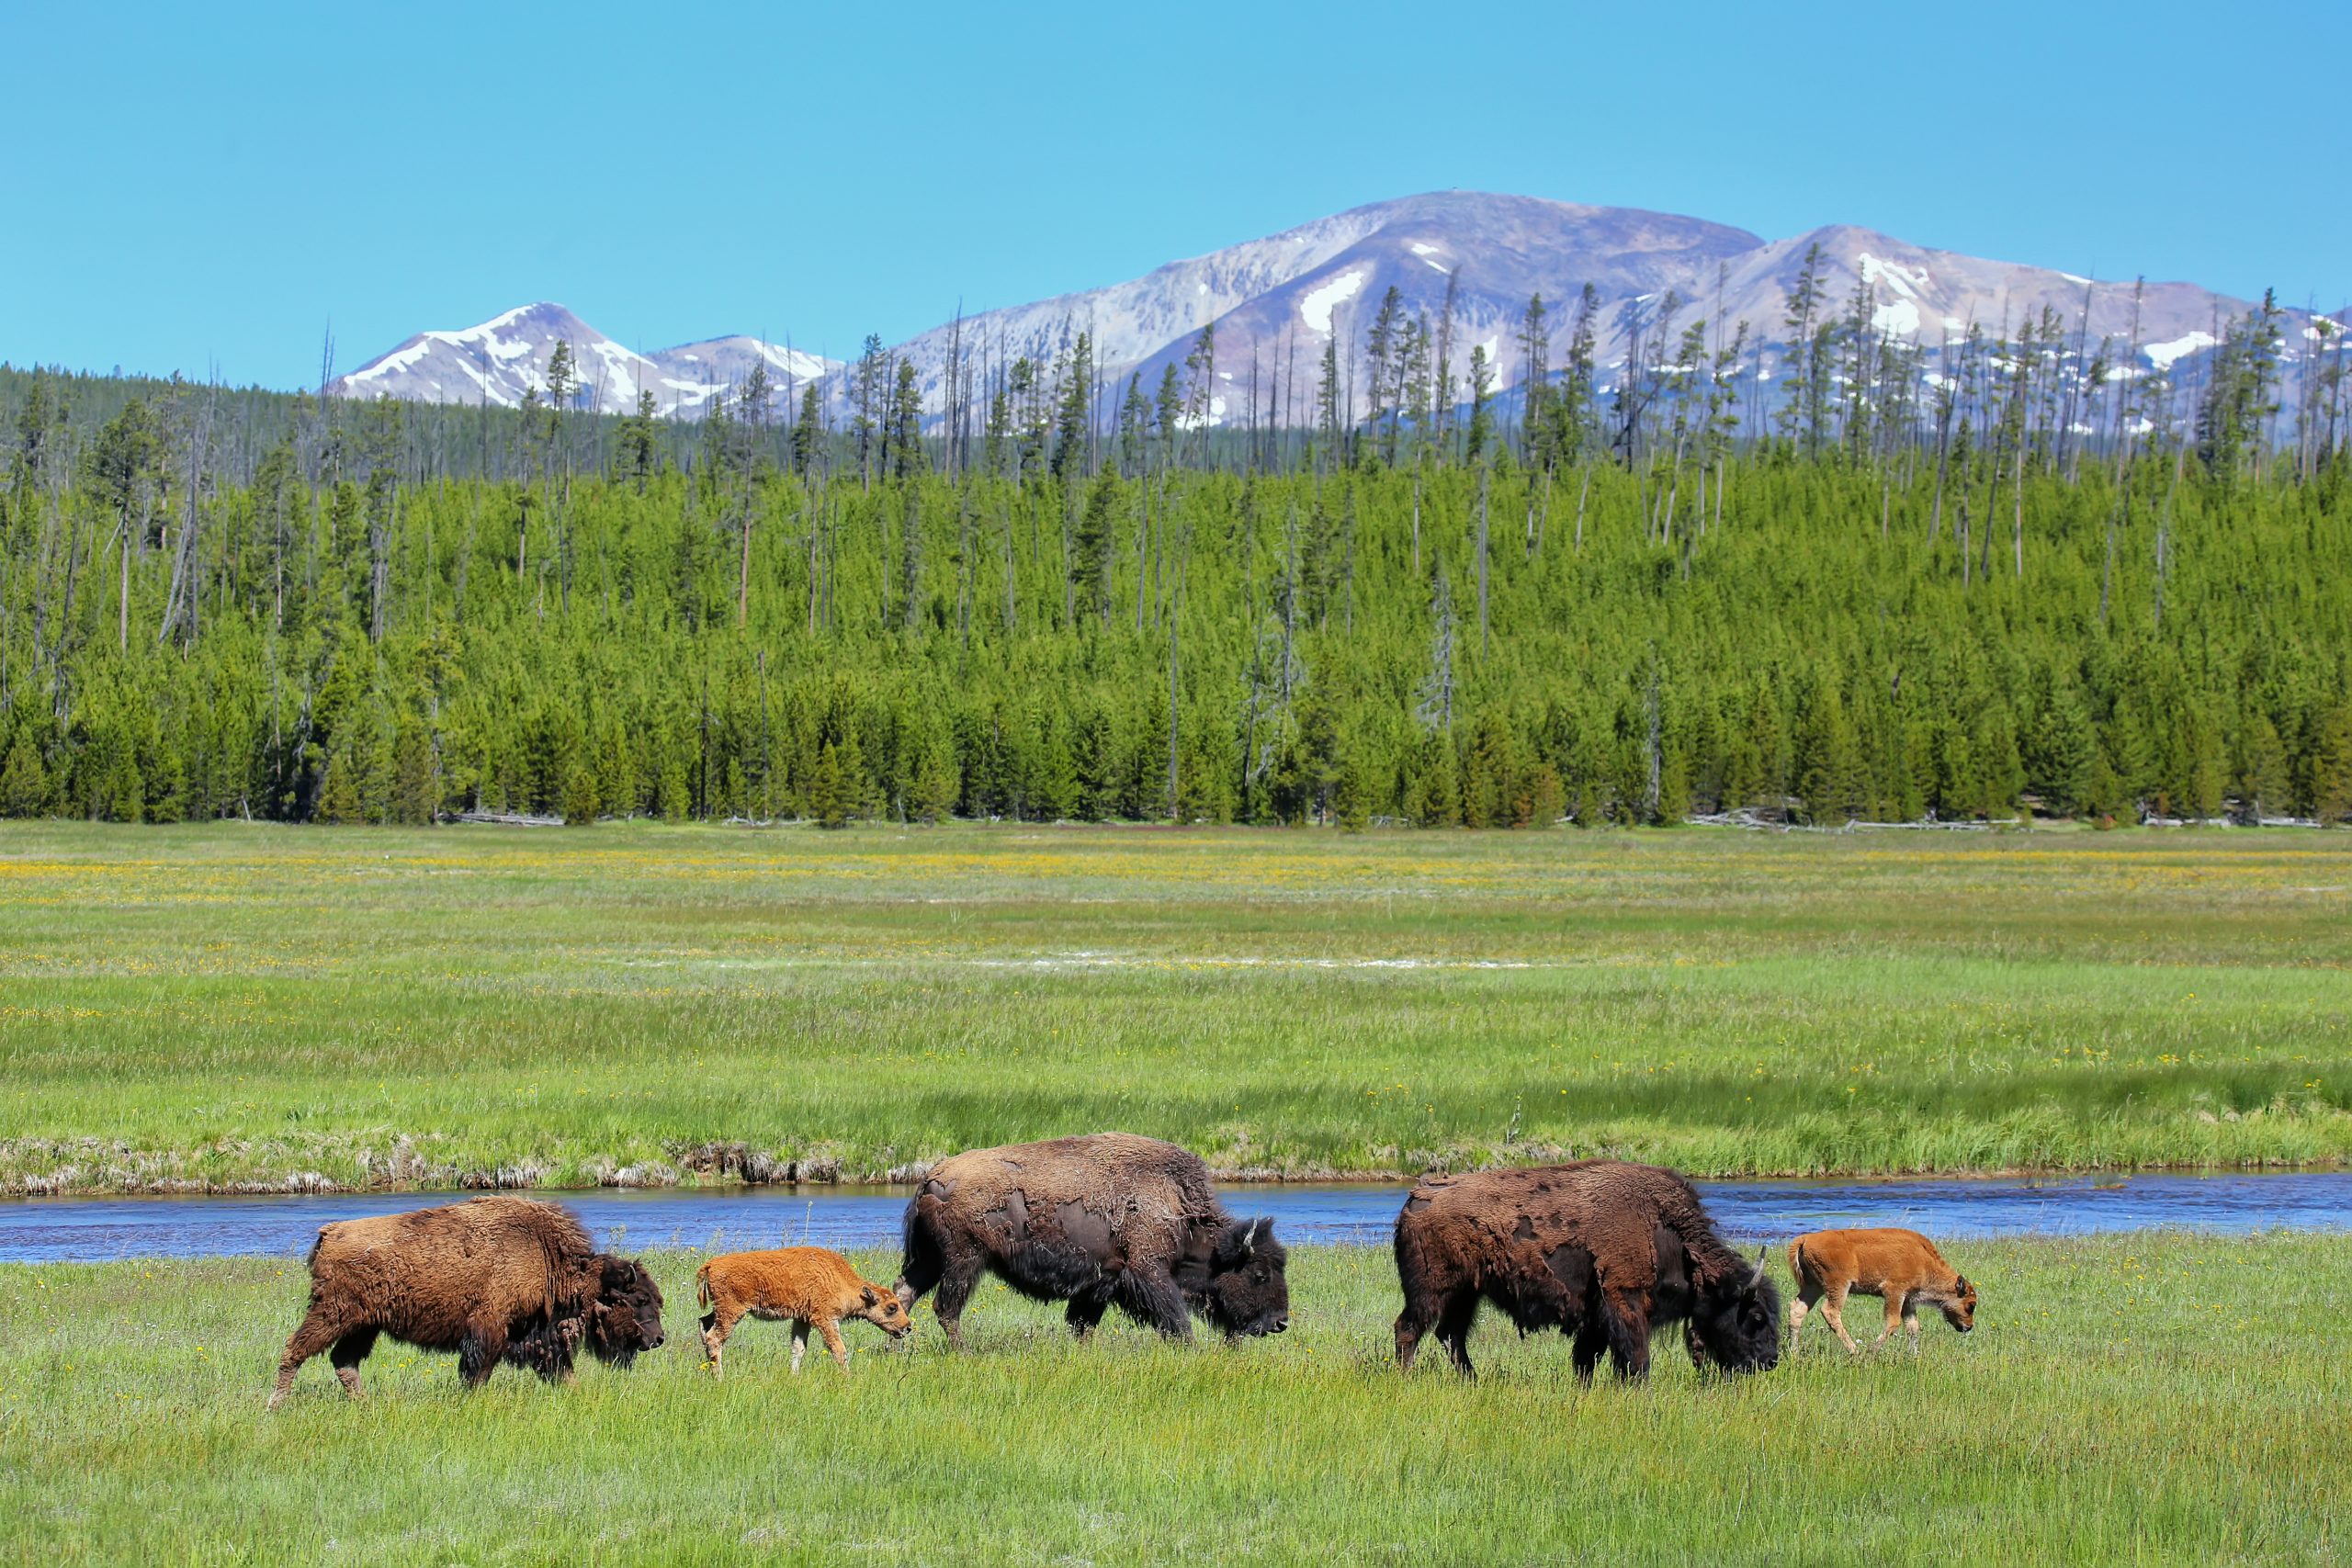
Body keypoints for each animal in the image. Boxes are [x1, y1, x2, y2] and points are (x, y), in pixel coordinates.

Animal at [267, 1196, 666, 1408]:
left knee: (344, 1362)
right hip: (333, 1314)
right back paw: (276, 1405)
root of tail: (329, 1233)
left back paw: (364, 1404)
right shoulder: (489, 1331)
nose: (658, 1338)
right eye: (639, 1298)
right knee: (295, 1350)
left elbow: (561, 1371)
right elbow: (478, 1371)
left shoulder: (539, 1337)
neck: (546, 1258)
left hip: (365, 1325)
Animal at [696, 1246, 913, 1377]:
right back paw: (720, 1378)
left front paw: (794, 1376)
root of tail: (711, 1264)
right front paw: (848, 1377)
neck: (839, 1279)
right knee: (715, 1338)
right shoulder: (825, 1319)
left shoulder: (802, 1320)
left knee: (704, 1324)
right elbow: (839, 1349)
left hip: (720, 1310)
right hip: (732, 1311)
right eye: (892, 1307)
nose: (908, 1327)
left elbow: (798, 1348)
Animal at [894, 1133, 1291, 1346]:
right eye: (1259, 1274)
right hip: (964, 1260)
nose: (1280, 1323)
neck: (1176, 1207)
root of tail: (931, 1176)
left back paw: (894, 1349)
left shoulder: (1101, 1282)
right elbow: (1177, 1320)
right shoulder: (1148, 1272)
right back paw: (963, 1352)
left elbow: (1083, 1325)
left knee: (904, 1293)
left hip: (930, 1260)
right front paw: (1191, 1350)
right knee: (946, 1308)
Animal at [1392, 1160, 1781, 1383]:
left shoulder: (1596, 1317)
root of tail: (1416, 1197)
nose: (1770, 1361)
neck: (1664, 1232)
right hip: (1431, 1291)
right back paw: (1406, 1377)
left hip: (1466, 1294)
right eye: (1756, 1317)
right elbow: (1636, 1357)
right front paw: (1638, 1389)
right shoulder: (1624, 1300)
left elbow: (1587, 1358)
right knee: (1409, 1328)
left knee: (1451, 1334)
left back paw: (1472, 1380)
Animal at [1786, 1227, 1976, 1353]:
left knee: (1797, 1309)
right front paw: (1871, 1352)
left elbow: (1913, 1327)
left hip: (1813, 1287)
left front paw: (1914, 1356)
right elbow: (1893, 1323)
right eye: (1971, 1305)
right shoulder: (1894, 1292)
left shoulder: (1908, 1300)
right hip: (1838, 1286)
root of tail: (1806, 1239)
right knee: (1830, 1312)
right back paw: (1855, 1351)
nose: (1968, 1327)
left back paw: (1794, 1352)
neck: (1924, 1260)